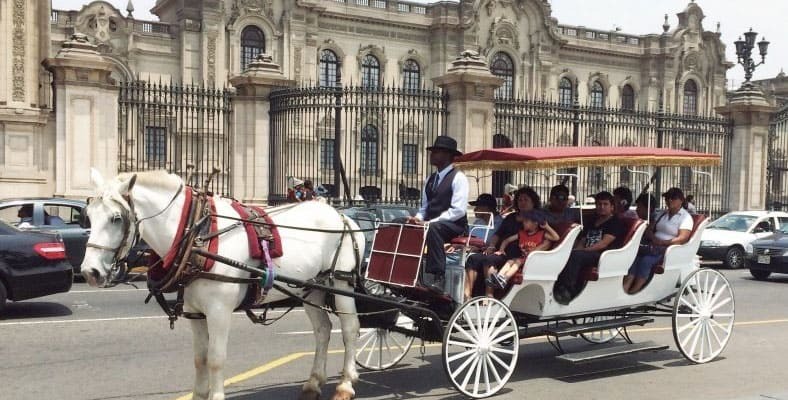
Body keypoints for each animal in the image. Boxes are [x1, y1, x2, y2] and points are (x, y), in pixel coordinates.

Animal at [81, 169, 366, 400]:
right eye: (88, 216)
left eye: (116, 218)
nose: (90, 272)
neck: (196, 233)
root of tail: (342, 216)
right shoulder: (195, 312)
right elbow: (200, 359)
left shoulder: (219, 311)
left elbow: (216, 359)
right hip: (312, 288)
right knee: (323, 330)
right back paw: (313, 383)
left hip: (340, 283)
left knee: (350, 328)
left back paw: (345, 384)